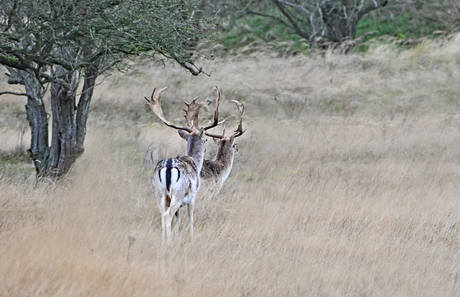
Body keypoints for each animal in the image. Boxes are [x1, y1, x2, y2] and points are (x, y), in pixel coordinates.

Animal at [145, 85, 222, 243]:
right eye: (205, 139)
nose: (206, 146)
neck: (194, 162)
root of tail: (168, 167)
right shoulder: (193, 196)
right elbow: (190, 218)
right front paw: (191, 237)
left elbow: (178, 221)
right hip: (178, 194)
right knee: (168, 215)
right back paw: (168, 243)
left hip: (159, 193)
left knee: (163, 215)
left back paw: (163, 241)